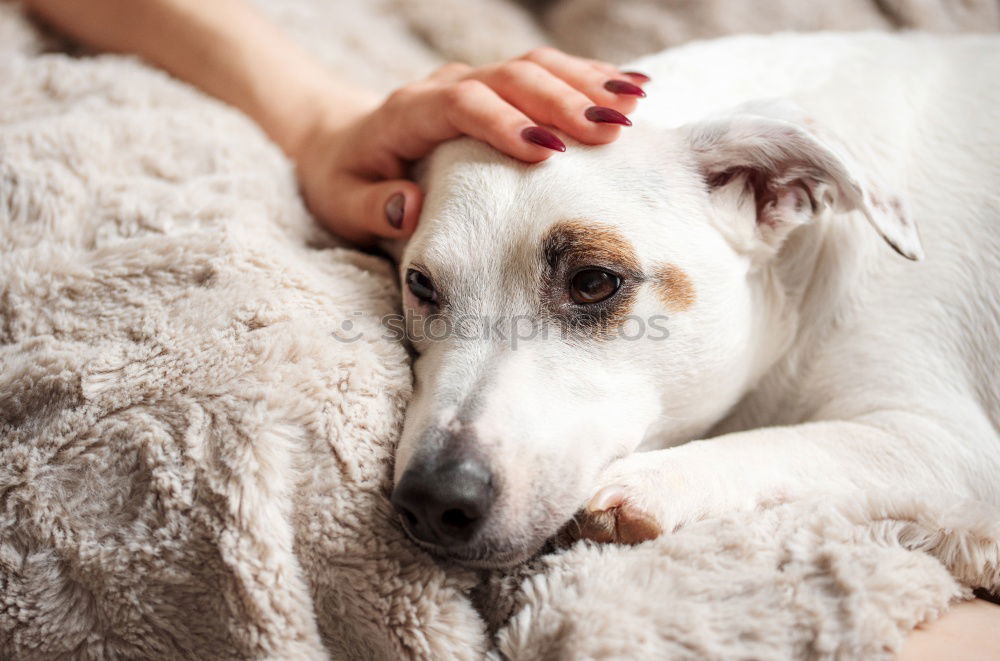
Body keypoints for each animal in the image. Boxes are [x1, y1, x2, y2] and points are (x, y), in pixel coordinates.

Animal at [384, 32, 1000, 568]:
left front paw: (654, 480)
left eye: (593, 282)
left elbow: (792, 443)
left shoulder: (945, 442)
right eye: (420, 284)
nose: (434, 499)